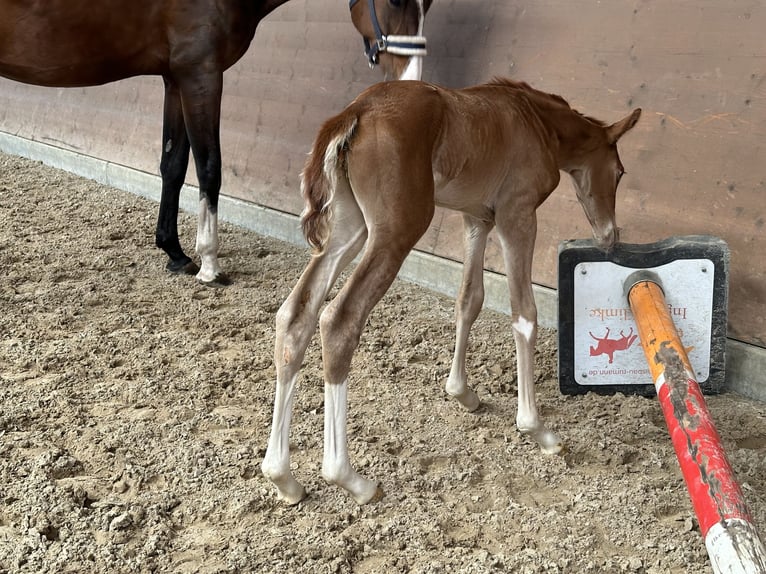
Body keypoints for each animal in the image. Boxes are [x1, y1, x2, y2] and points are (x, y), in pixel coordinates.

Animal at [0, 0, 432, 286]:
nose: (412, 81)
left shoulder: (174, 79)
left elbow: (173, 165)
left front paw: (175, 253)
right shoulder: (201, 74)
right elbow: (209, 166)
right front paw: (209, 263)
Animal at [262, 76, 640, 504]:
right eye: (620, 172)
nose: (609, 236)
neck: (537, 121)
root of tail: (354, 112)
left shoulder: (476, 219)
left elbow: (468, 300)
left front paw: (463, 393)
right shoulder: (517, 214)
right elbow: (524, 313)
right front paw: (537, 428)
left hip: (348, 228)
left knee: (296, 315)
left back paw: (282, 476)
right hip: (397, 229)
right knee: (340, 320)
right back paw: (349, 477)